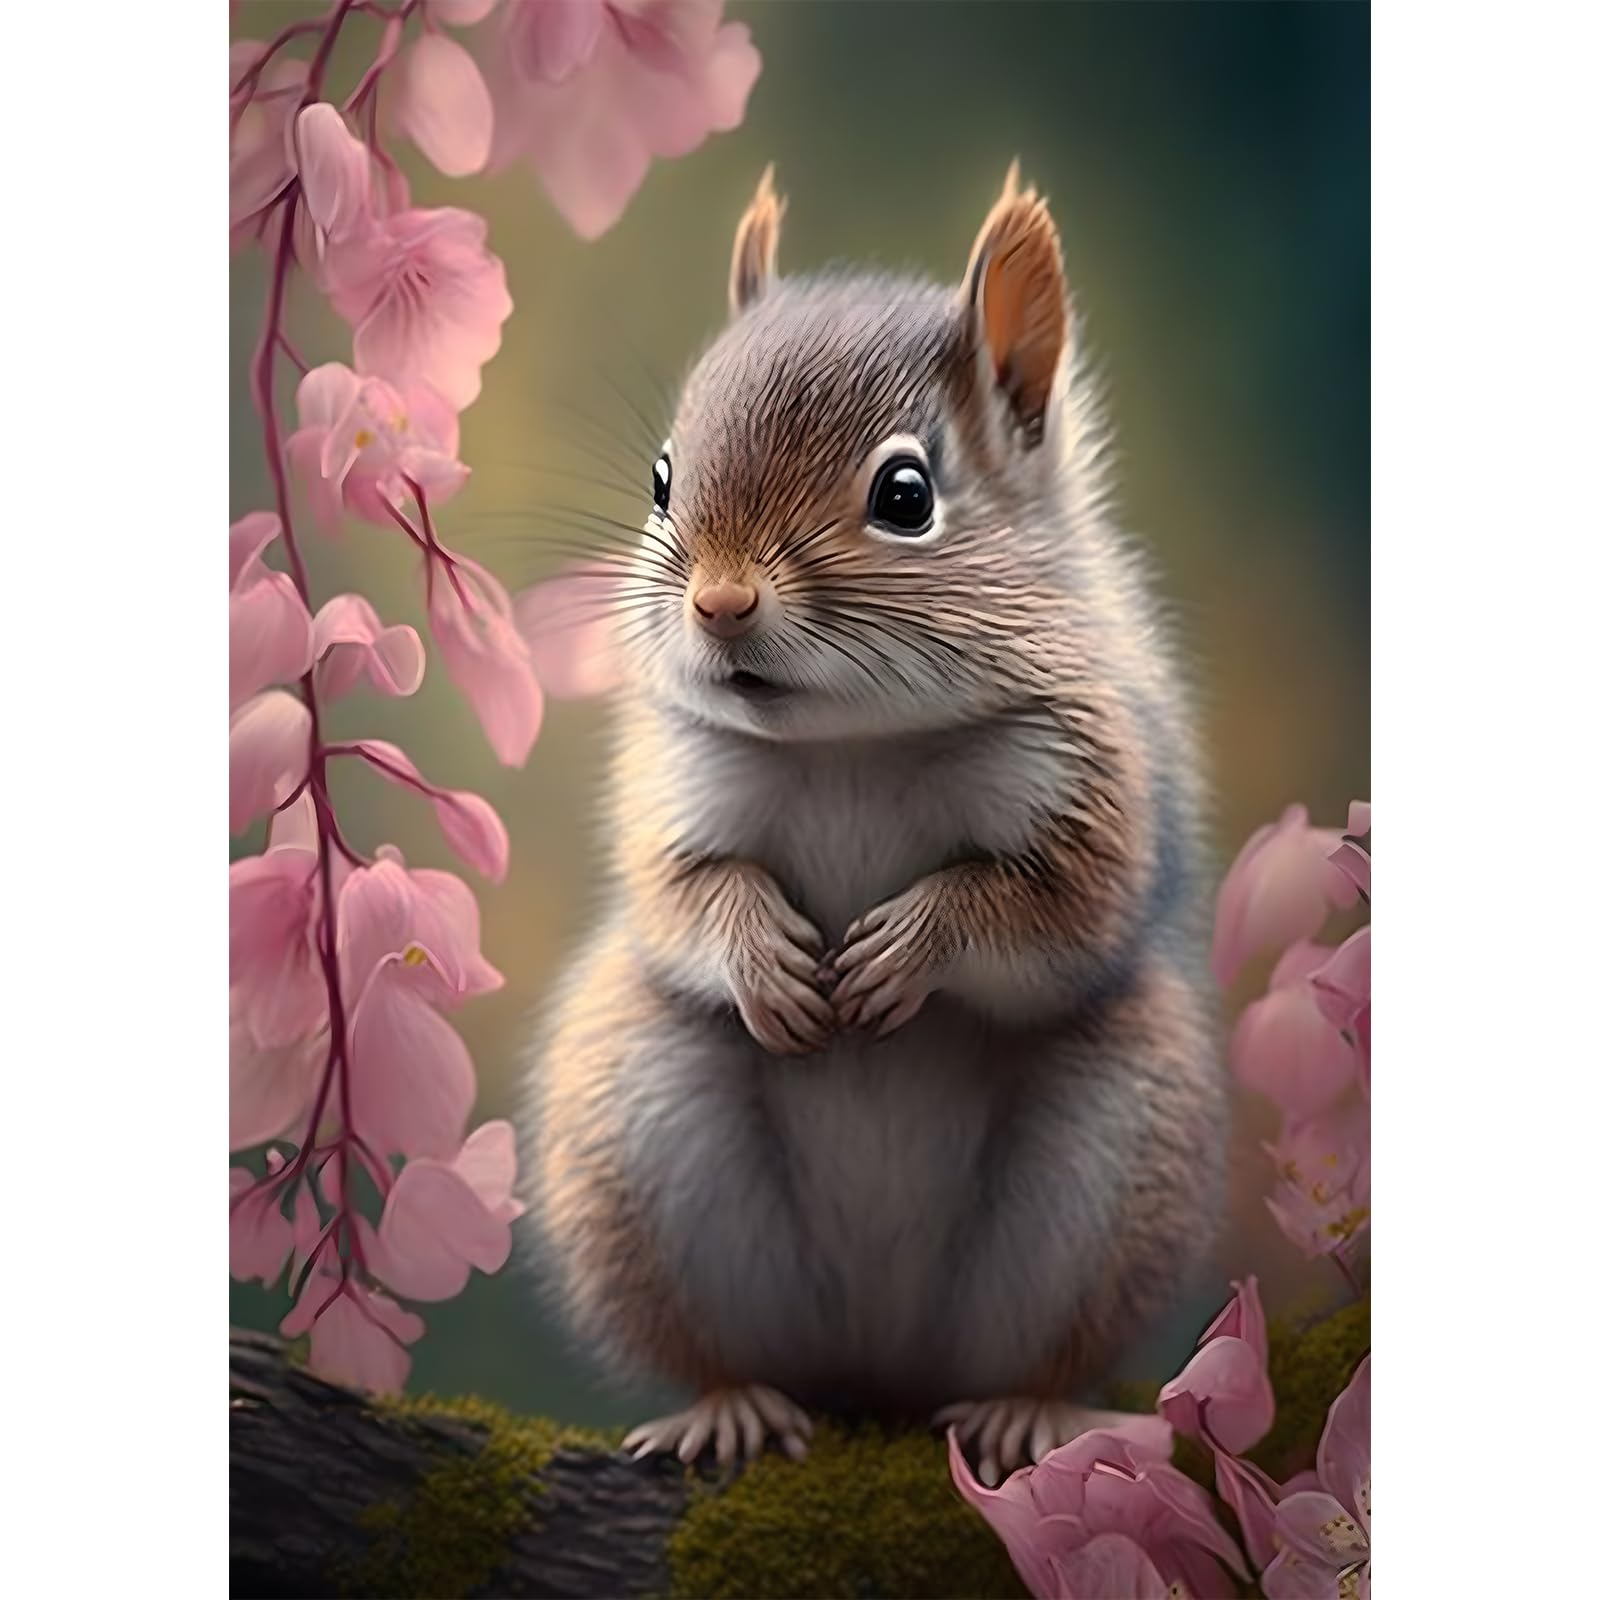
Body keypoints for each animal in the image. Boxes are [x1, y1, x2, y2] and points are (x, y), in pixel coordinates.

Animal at [517, 162, 1227, 1485]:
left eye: (906, 495)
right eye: (660, 480)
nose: (719, 600)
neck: (850, 744)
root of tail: (881, 1368)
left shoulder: (1099, 775)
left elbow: (1054, 904)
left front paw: (911, 943)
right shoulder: (674, 786)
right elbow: (680, 891)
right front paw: (763, 954)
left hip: (1117, 1155)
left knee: (1037, 1347)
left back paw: (1028, 1412)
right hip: (634, 1123)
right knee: (727, 1346)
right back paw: (728, 1403)